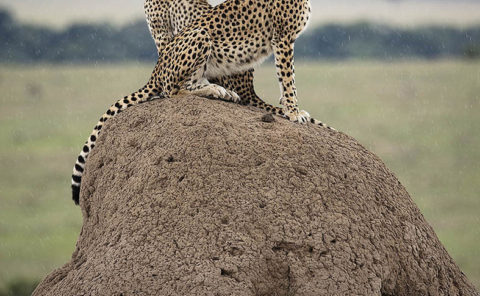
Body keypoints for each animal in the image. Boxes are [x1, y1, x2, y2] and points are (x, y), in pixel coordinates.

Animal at [71, 0, 334, 205]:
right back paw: (216, 90)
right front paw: (293, 111)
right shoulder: (283, 37)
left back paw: (223, 92)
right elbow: (288, 78)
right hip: (199, 35)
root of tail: (155, 70)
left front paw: (292, 110)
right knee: (172, 89)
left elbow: (287, 78)